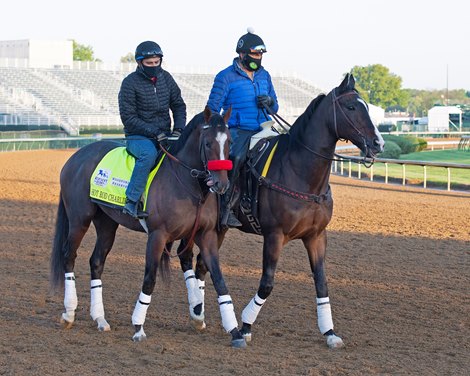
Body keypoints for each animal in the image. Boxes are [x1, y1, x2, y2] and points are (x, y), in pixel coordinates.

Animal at [51, 106, 248, 346]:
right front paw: (138, 326)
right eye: (209, 142)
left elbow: (219, 279)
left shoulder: (207, 235)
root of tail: (76, 157)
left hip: (106, 223)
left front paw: (235, 331)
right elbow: (150, 278)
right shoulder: (157, 236)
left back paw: (100, 319)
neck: (186, 183)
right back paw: (69, 313)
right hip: (80, 219)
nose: (221, 184)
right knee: (68, 256)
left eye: (229, 141)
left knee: (96, 262)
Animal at [178, 73, 384, 350]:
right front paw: (245, 325)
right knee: (187, 257)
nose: (378, 142)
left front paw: (329, 332)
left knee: (201, 264)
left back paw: (199, 314)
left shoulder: (316, 236)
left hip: (218, 230)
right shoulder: (274, 236)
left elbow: (321, 282)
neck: (299, 172)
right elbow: (267, 283)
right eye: (351, 107)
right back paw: (197, 311)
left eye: (367, 107)